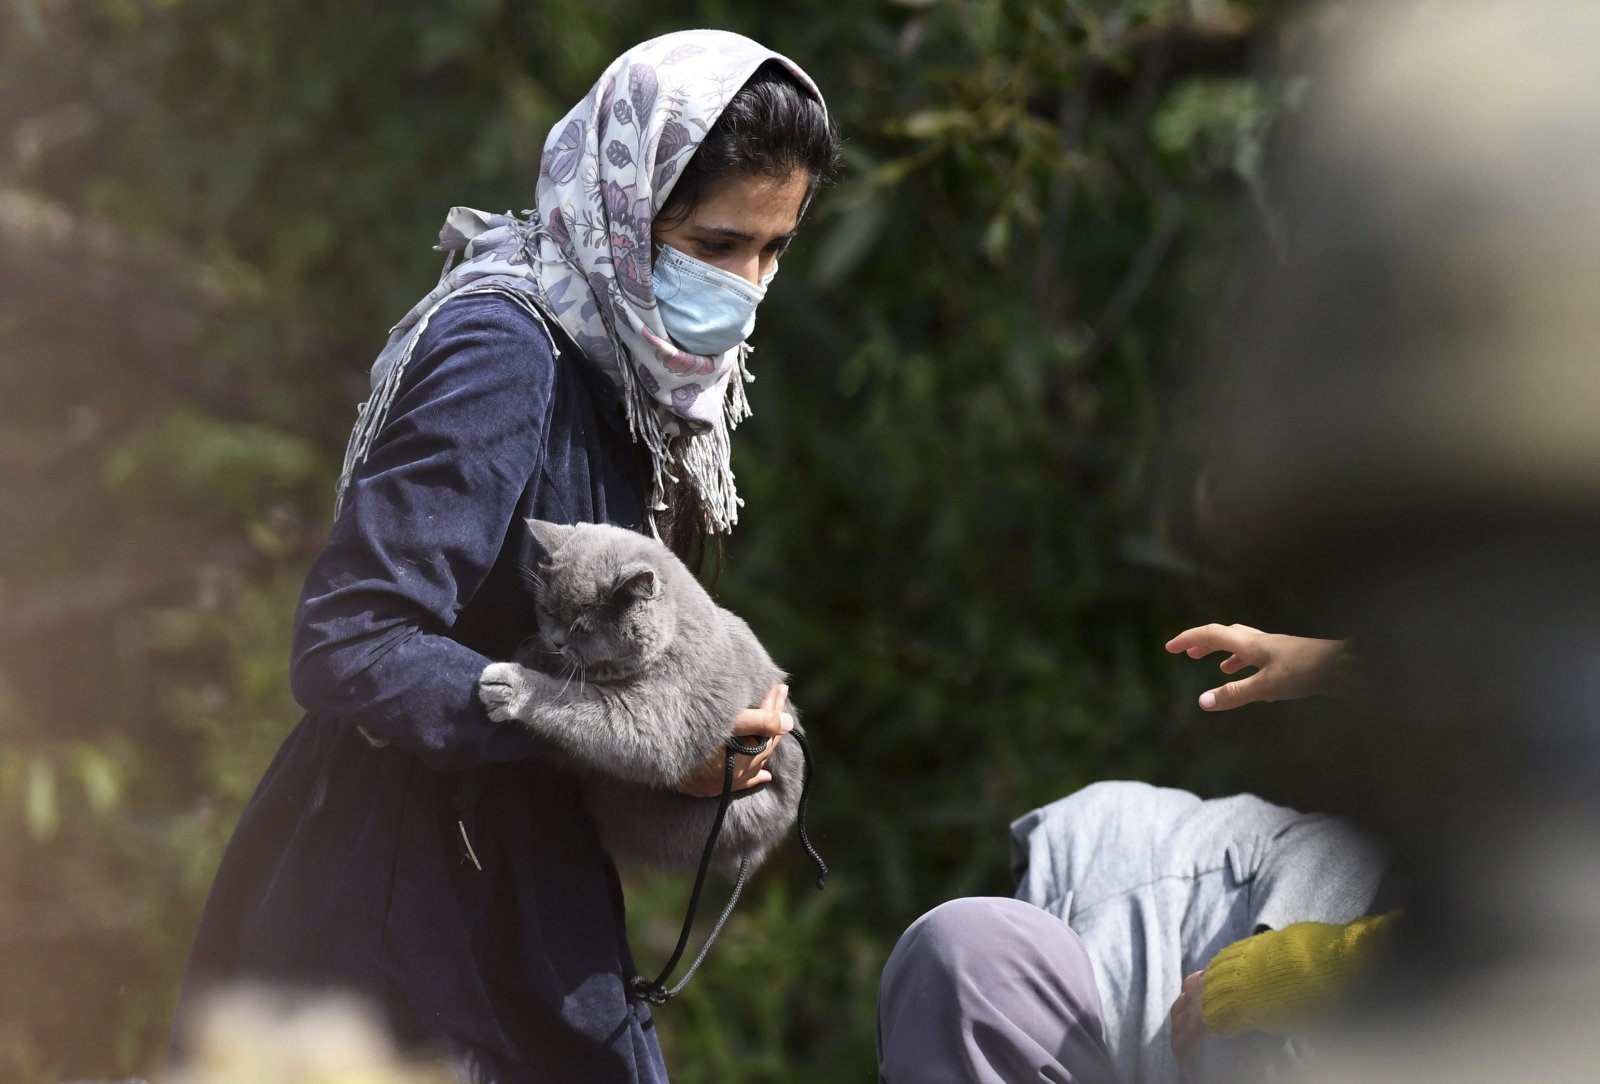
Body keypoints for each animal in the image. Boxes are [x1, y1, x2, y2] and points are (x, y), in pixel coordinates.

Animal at [470, 518, 800, 882]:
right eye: (547, 611)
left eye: (582, 627)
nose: (556, 642)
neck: (669, 637)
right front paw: (532, 654)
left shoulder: (656, 718)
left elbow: (575, 701)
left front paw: (511, 683)